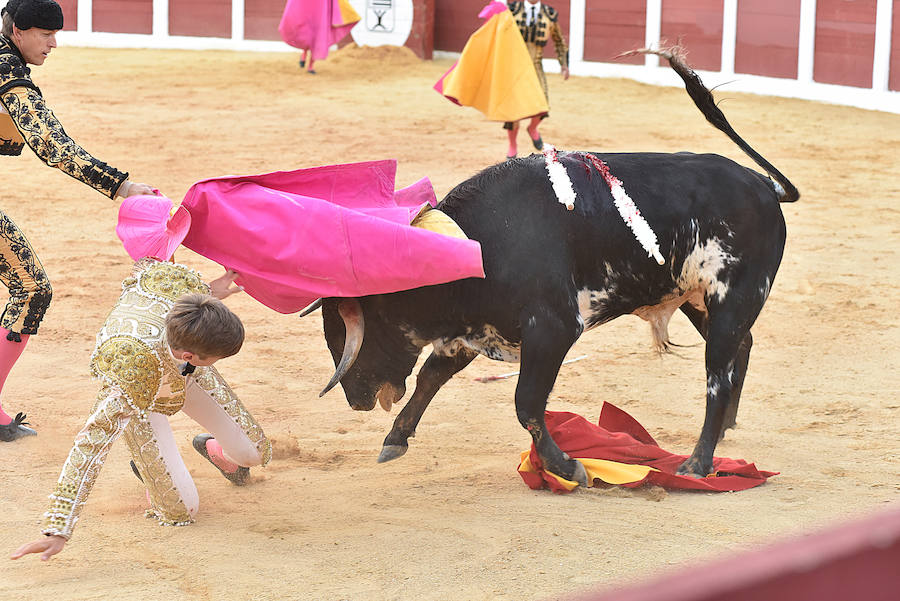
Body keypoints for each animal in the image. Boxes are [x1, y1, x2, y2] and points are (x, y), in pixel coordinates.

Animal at [320, 50, 800, 482]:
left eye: (356, 334)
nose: (356, 400)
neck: (483, 243)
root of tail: (762, 185)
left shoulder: (553, 329)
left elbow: (527, 403)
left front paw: (566, 467)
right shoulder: (472, 329)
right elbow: (430, 378)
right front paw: (395, 439)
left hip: (733, 295)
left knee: (718, 376)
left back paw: (698, 464)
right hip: (698, 299)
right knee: (741, 348)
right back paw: (724, 433)